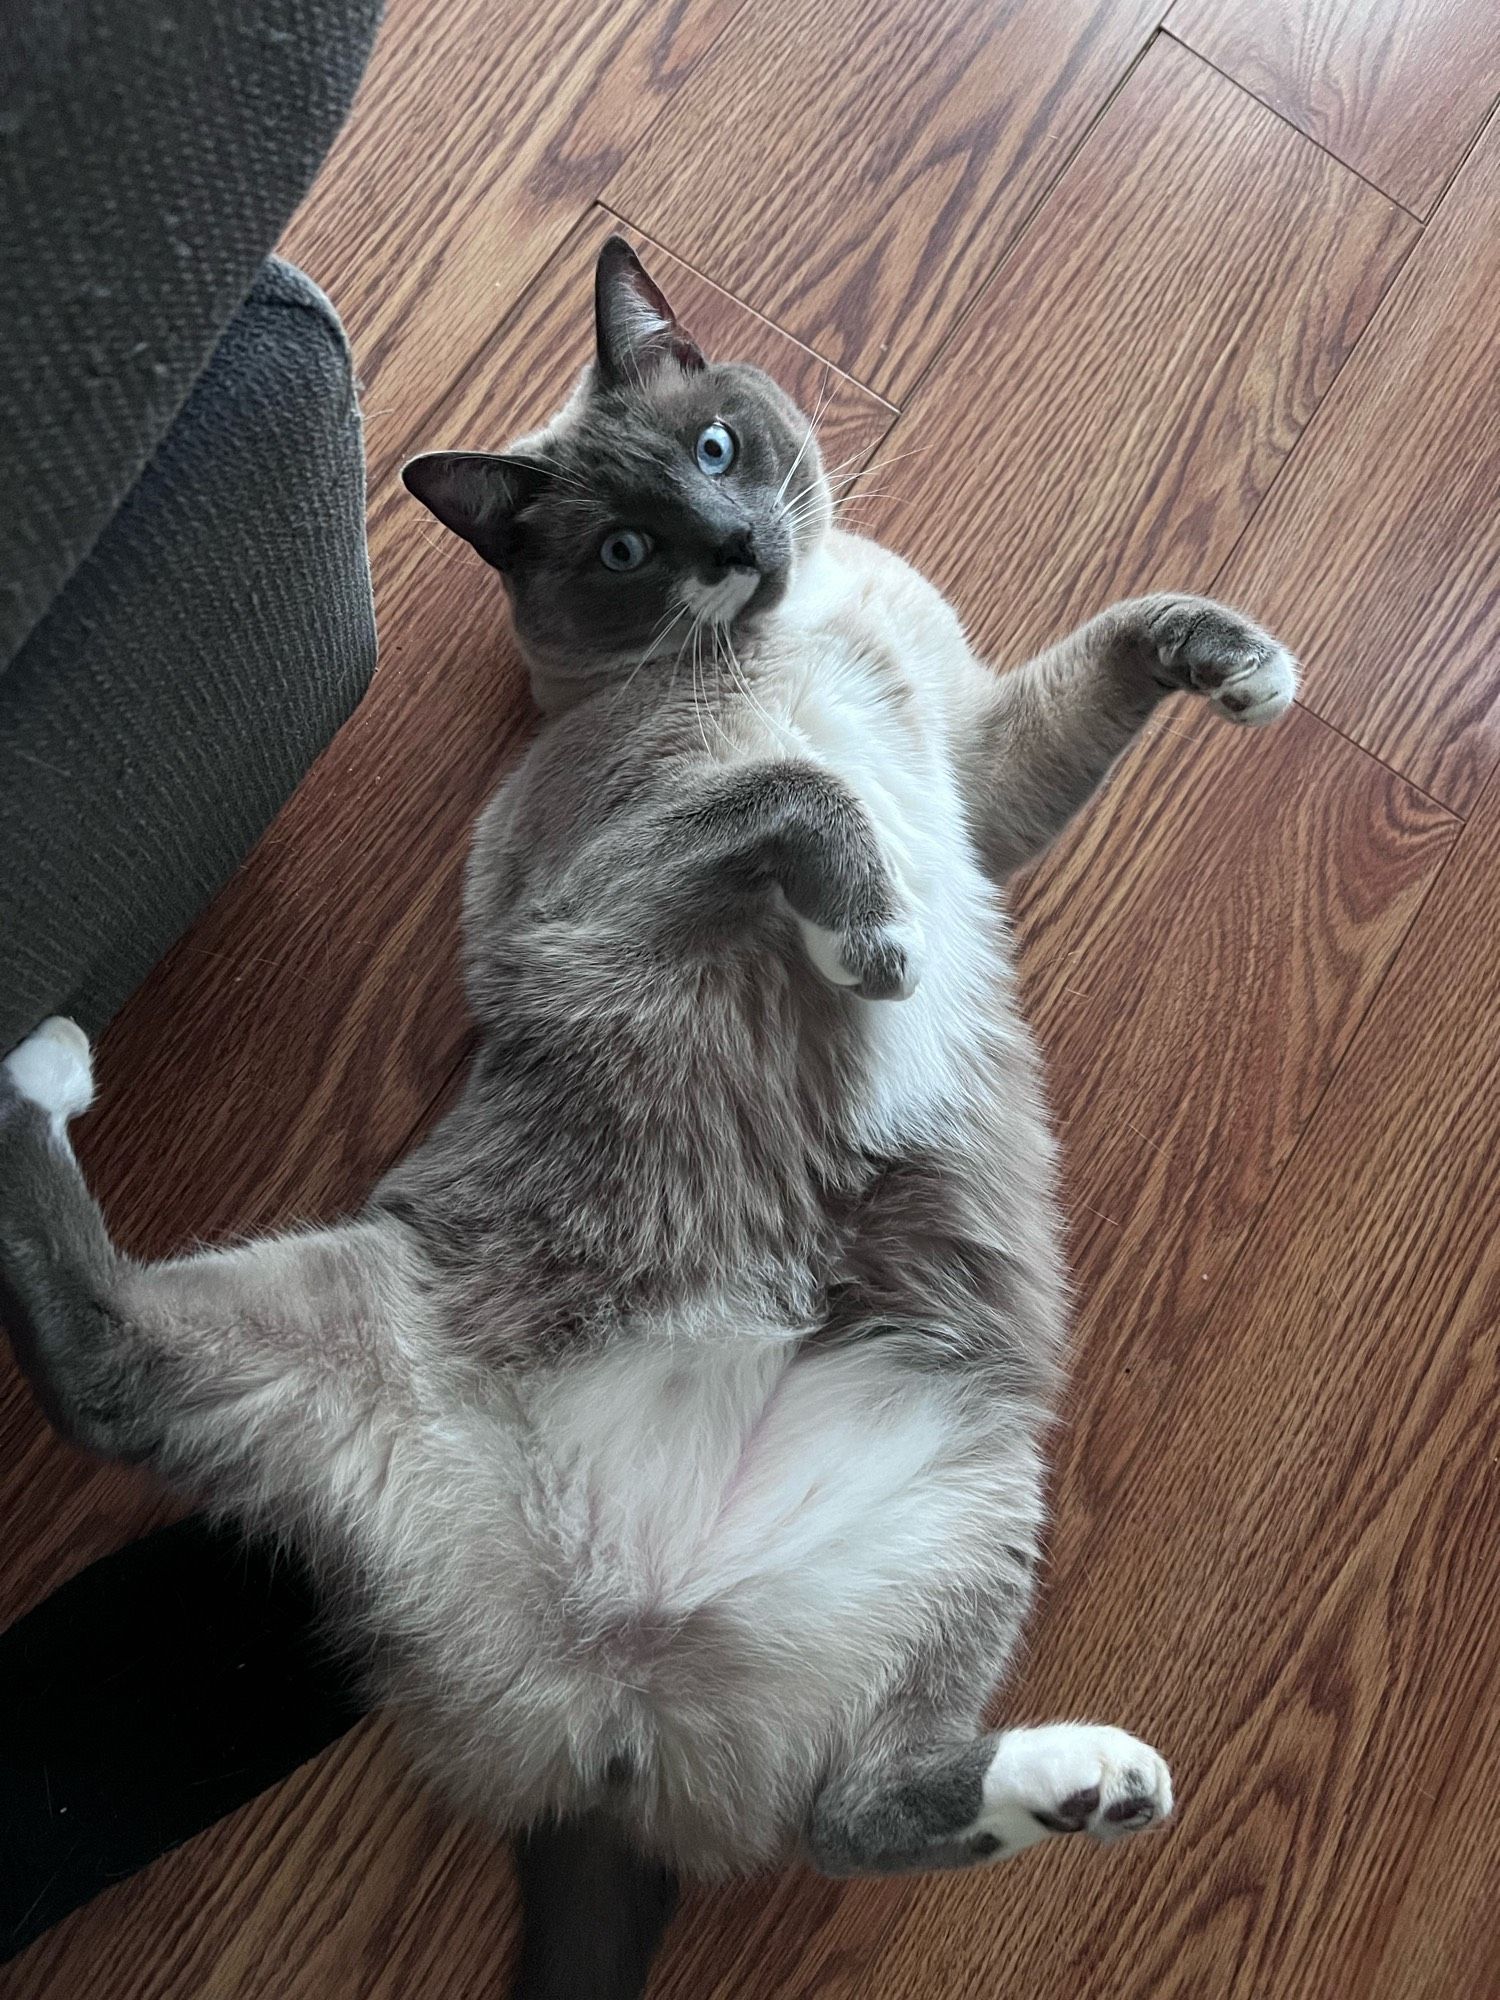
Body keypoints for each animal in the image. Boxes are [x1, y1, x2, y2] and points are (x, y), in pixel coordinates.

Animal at [0, 238, 1296, 2000]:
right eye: (626, 547)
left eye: (717, 451)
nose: (737, 546)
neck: (798, 629)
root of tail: (614, 1692)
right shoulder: (592, 891)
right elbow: (805, 799)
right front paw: (873, 946)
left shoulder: (978, 778)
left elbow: (1106, 654)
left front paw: (1243, 669)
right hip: (348, 1322)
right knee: (99, 1368)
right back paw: (42, 1061)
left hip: (969, 1503)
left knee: (854, 1812)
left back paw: (1085, 1783)